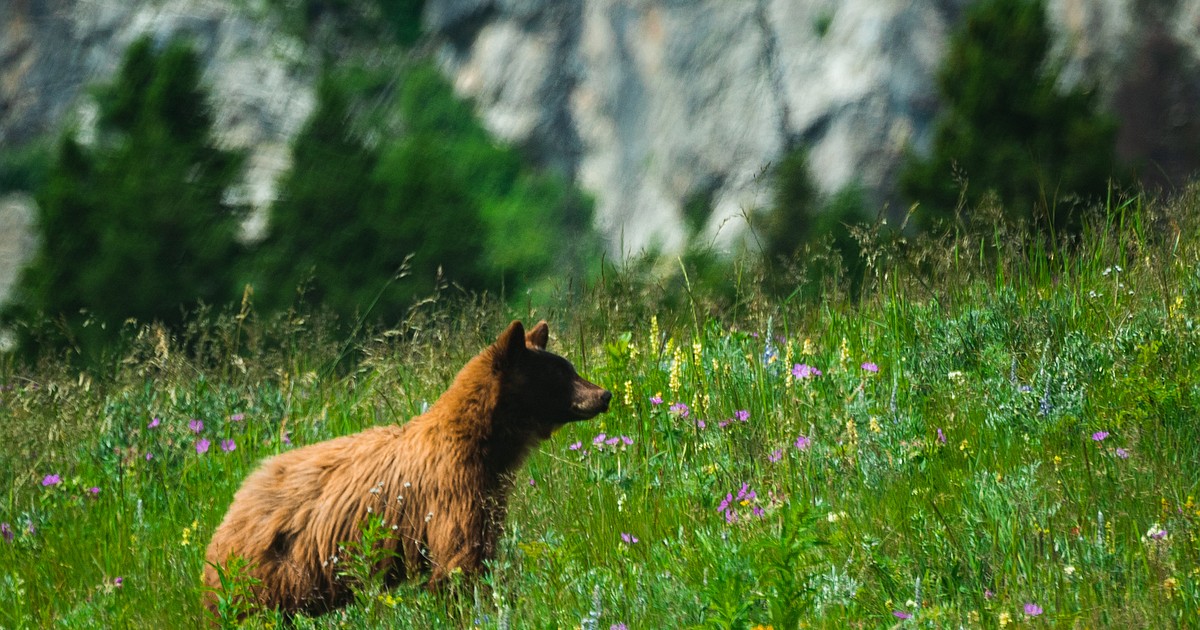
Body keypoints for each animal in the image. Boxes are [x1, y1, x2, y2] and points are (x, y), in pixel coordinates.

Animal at [202, 320, 611, 619]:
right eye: (559, 375)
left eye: (570, 367)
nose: (603, 394)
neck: (484, 443)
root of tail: (232, 511)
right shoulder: (453, 490)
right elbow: (461, 558)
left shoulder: (488, 488)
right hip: (271, 570)